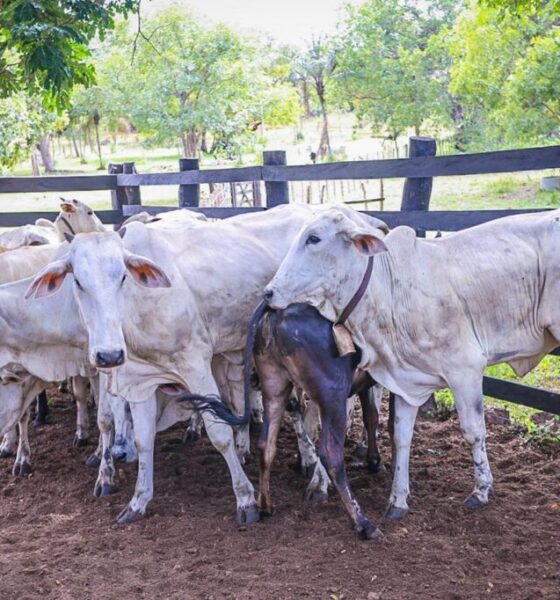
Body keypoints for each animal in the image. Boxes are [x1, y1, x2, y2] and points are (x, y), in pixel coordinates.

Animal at [263, 206, 560, 524]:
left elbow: (473, 431)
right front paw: (398, 499)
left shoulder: (465, 371)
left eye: (314, 238)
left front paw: (481, 490)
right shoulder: (406, 380)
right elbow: (401, 437)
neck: (390, 291)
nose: (268, 292)